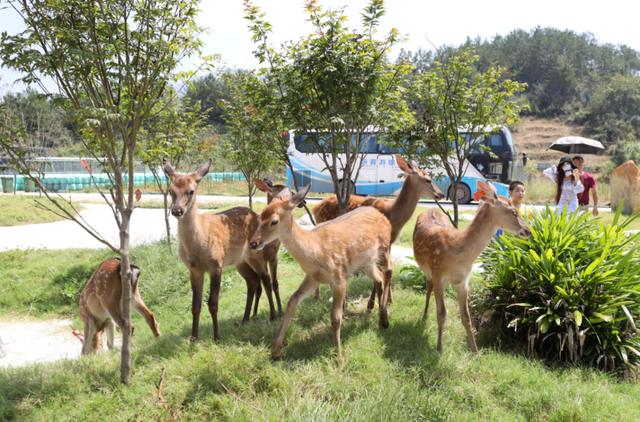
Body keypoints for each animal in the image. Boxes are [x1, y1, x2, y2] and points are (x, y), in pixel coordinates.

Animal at [162, 160, 278, 342]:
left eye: (191, 191)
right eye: (170, 190)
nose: (177, 210)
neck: (197, 245)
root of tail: (256, 215)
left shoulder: (216, 264)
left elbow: (213, 303)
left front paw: (216, 337)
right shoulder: (194, 269)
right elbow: (195, 305)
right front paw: (194, 338)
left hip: (256, 253)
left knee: (265, 279)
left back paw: (273, 315)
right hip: (240, 261)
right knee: (252, 281)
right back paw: (245, 319)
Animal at [248, 186, 392, 362]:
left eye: (274, 221)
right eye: (260, 216)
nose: (253, 243)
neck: (316, 250)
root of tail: (382, 216)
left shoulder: (339, 277)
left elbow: (336, 318)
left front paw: (339, 357)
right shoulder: (313, 277)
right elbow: (292, 301)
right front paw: (275, 350)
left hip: (384, 248)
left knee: (389, 271)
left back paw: (385, 318)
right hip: (366, 263)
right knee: (379, 278)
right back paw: (381, 320)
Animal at [312, 155, 444, 306]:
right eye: (428, 179)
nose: (441, 194)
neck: (393, 215)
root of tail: (315, 208)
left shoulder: (389, 242)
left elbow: (387, 269)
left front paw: (389, 300)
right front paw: (372, 303)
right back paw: (318, 296)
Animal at [412, 181, 532, 352]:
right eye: (513, 212)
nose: (528, 230)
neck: (458, 255)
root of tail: (432, 209)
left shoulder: (464, 281)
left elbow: (466, 317)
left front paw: (475, 351)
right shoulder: (438, 273)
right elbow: (442, 313)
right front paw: (439, 348)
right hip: (427, 269)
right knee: (428, 287)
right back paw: (424, 317)